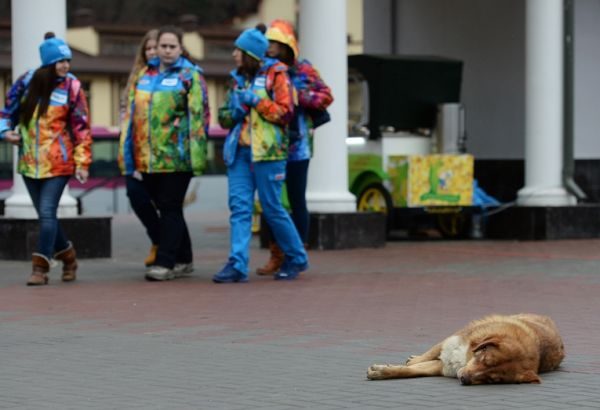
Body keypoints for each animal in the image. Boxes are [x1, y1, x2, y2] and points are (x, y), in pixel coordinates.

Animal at [368, 314, 564, 384]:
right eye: (483, 360)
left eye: (492, 380)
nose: (464, 379)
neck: (466, 357)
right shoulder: (449, 343)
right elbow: (423, 359)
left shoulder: (443, 367)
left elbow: (413, 370)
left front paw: (384, 371)